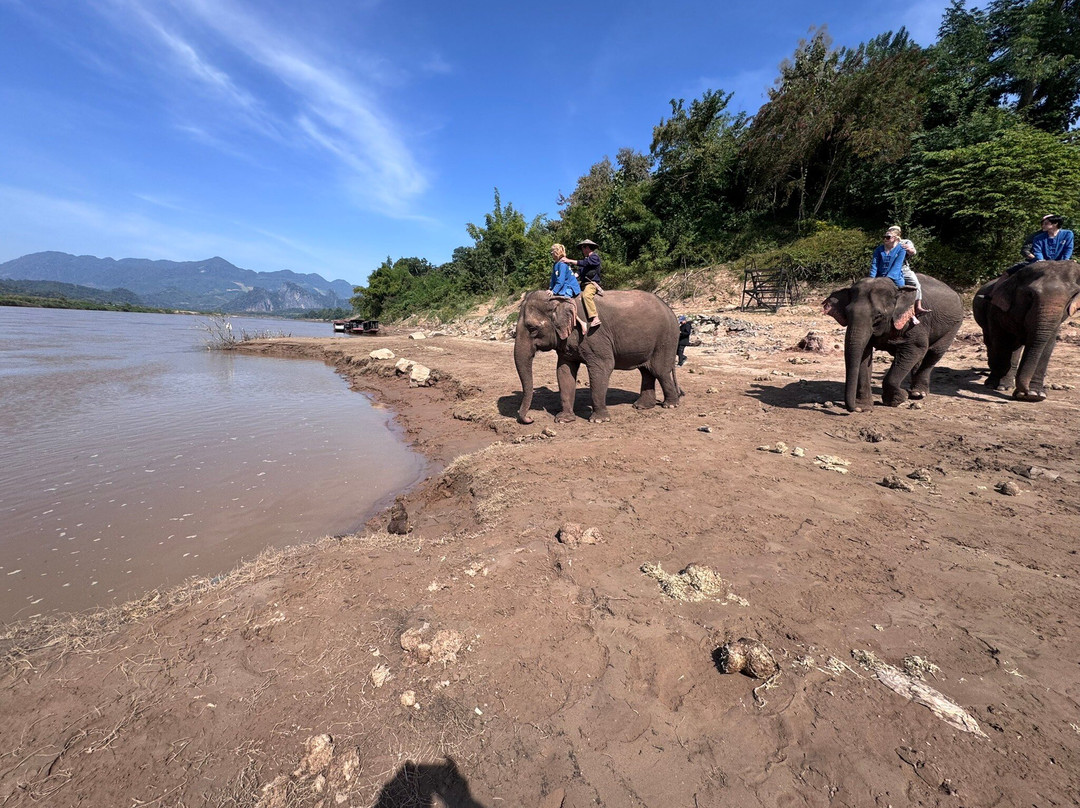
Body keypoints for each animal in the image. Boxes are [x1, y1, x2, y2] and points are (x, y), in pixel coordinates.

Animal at [514, 289, 680, 423]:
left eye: (532, 328)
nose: (530, 418)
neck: (560, 300)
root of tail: (670, 309)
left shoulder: (594, 335)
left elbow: (603, 367)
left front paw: (598, 420)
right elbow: (564, 371)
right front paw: (563, 420)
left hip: (666, 338)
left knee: (659, 371)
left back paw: (670, 405)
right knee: (646, 371)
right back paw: (642, 406)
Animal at [823, 274, 964, 412]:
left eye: (878, 315)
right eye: (847, 313)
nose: (853, 409)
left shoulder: (913, 323)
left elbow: (916, 348)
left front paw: (897, 399)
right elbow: (864, 354)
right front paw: (864, 408)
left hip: (954, 325)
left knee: (934, 352)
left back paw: (918, 394)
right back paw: (914, 393)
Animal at [972, 260, 1080, 401]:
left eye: (1071, 297)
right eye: (1030, 294)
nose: (1025, 393)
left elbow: (1047, 345)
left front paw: (1036, 395)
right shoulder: (995, 309)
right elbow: (1001, 341)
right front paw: (997, 386)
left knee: (1015, 347)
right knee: (991, 342)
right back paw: (997, 382)